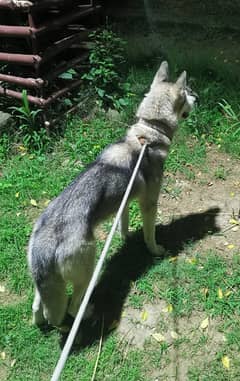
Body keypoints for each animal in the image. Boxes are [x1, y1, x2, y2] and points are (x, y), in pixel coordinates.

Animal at [27, 60, 197, 326]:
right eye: (188, 93)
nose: (197, 97)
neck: (148, 135)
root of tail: (45, 243)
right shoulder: (149, 204)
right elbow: (150, 235)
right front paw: (155, 251)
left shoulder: (125, 203)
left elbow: (124, 226)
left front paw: (126, 239)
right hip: (87, 272)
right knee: (72, 308)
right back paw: (88, 313)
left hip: (43, 285)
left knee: (38, 307)